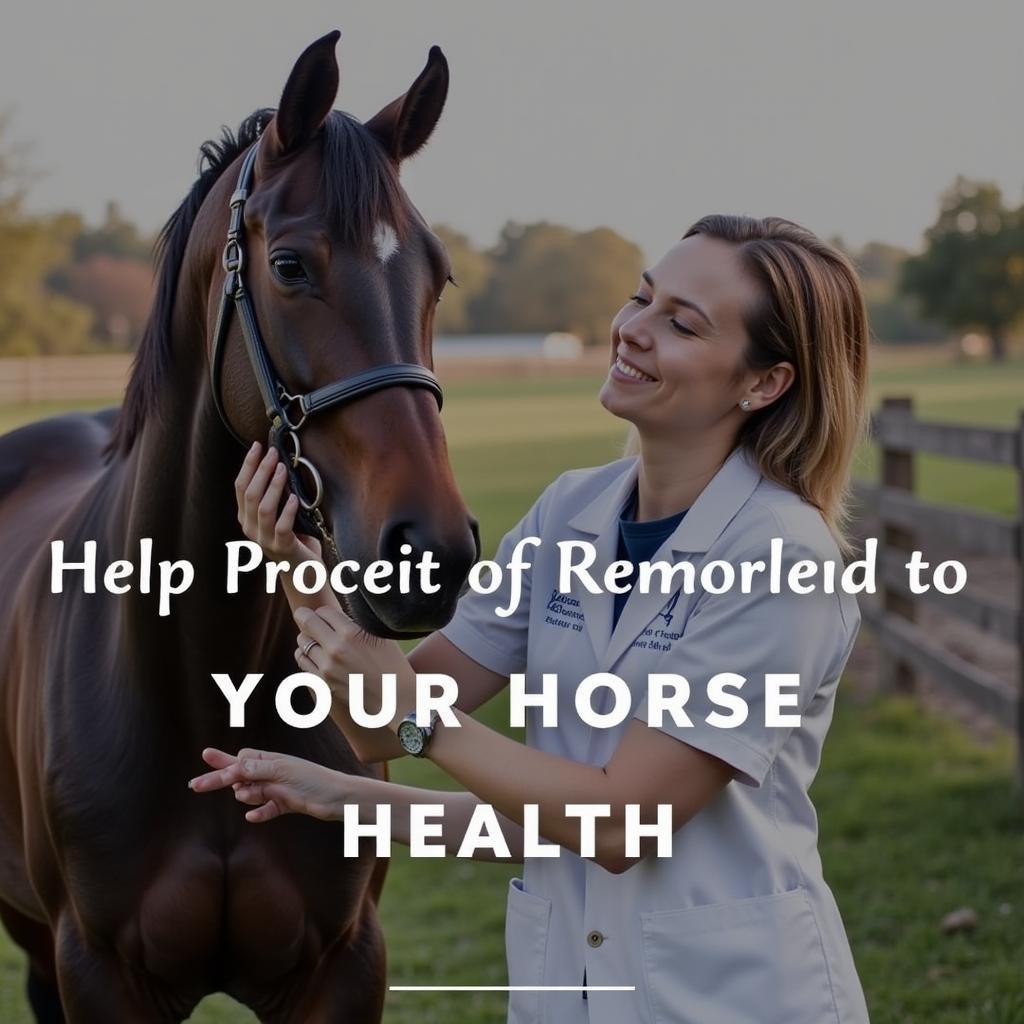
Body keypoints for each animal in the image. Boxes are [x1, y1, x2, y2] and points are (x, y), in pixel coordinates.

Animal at [0, 32, 477, 1024]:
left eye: (438, 273)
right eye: (290, 265)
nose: (432, 552)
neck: (201, 677)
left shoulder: (342, 964)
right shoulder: (96, 971)